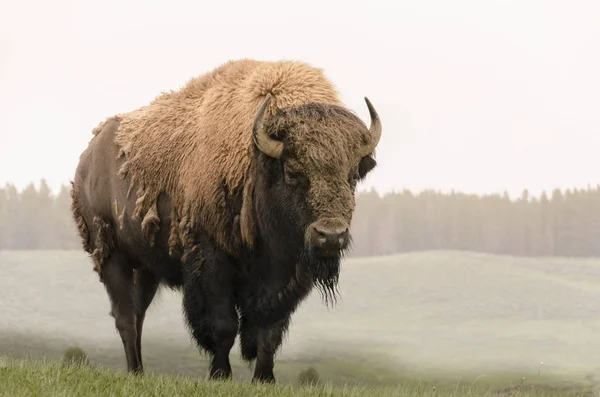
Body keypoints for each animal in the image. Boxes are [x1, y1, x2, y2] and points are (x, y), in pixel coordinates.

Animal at [70, 58, 380, 380]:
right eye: (293, 171)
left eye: (353, 174)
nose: (331, 235)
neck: (257, 162)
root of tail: (87, 159)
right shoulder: (211, 261)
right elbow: (223, 325)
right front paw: (221, 375)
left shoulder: (287, 276)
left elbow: (269, 331)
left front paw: (264, 379)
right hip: (112, 256)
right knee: (126, 316)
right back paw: (136, 370)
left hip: (145, 267)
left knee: (138, 313)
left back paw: (139, 371)